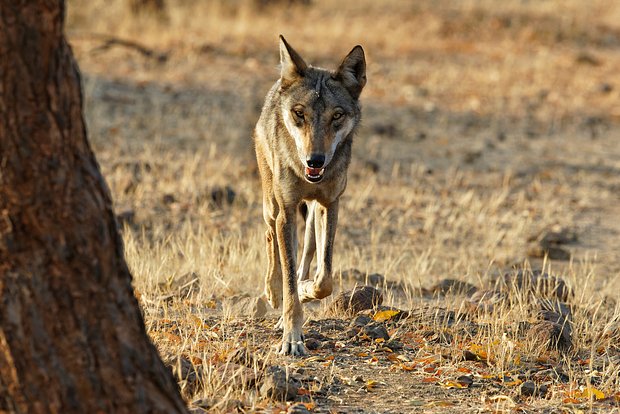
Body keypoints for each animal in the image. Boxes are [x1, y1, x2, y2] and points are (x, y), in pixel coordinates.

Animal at [254, 35, 366, 356]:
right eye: (299, 113)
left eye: (336, 116)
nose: (315, 160)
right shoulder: (287, 211)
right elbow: (289, 276)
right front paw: (291, 338)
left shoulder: (331, 204)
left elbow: (324, 279)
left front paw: (306, 291)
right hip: (272, 206)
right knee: (270, 238)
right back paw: (272, 292)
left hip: (314, 212)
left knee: (307, 252)